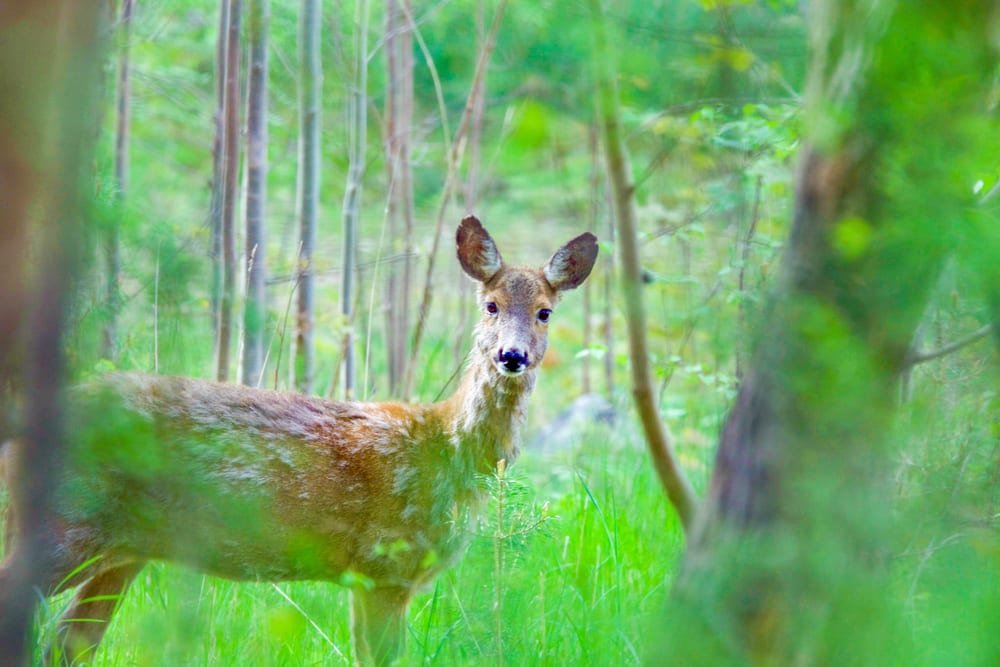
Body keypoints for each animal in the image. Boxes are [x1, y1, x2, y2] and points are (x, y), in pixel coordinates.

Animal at [0, 217, 592, 664]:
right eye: (490, 305)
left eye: (545, 312)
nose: (511, 356)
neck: (446, 450)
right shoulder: (386, 564)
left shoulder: (371, 578)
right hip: (65, 522)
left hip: (123, 550)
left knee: (68, 645)